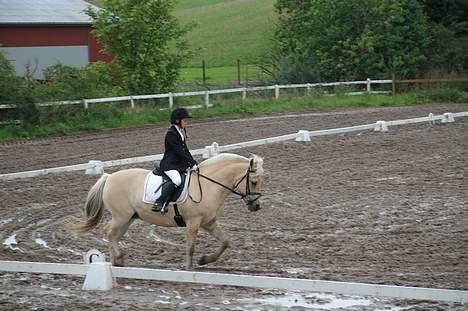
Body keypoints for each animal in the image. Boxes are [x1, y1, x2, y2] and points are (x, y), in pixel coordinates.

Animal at [73, 154, 264, 270]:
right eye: (253, 182)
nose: (256, 206)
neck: (209, 185)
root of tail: (109, 177)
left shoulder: (209, 222)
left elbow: (225, 242)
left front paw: (204, 260)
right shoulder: (193, 222)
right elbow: (190, 247)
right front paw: (189, 268)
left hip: (127, 219)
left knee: (113, 234)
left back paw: (116, 261)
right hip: (121, 216)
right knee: (109, 232)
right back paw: (118, 258)